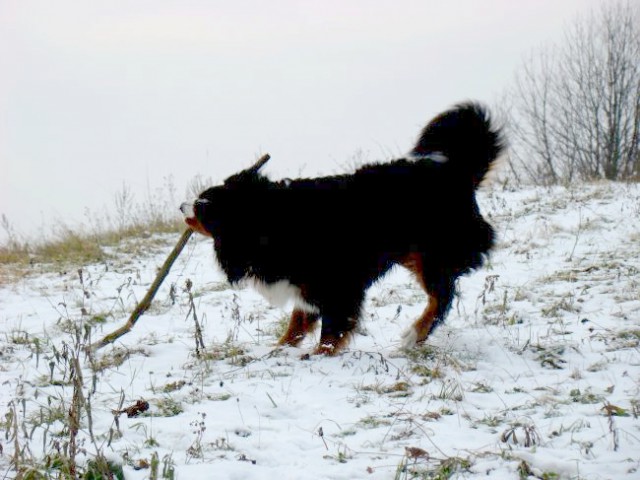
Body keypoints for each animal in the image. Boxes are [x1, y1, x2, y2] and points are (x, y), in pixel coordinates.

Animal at [181, 102, 504, 356]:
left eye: (202, 204)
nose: (183, 206)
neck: (267, 222)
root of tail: (455, 170)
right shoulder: (306, 282)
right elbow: (297, 322)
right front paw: (278, 349)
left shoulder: (335, 282)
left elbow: (332, 326)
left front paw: (318, 354)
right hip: (414, 254)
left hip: (433, 251)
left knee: (442, 296)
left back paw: (414, 335)